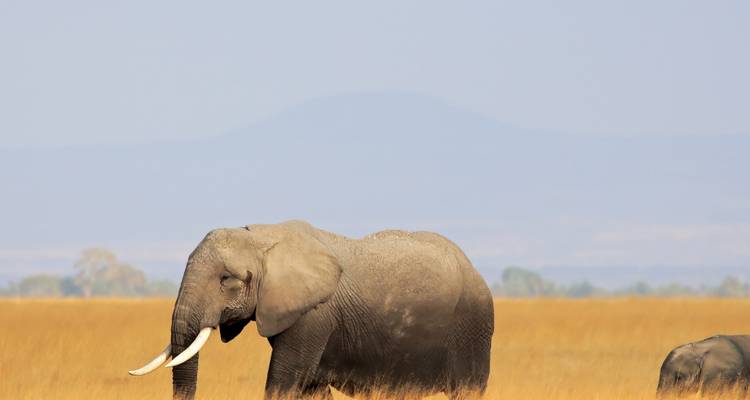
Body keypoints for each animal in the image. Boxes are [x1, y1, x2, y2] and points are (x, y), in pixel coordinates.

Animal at [129, 220, 494, 399]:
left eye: (227, 279)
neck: (263, 238)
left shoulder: (313, 316)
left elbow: (284, 381)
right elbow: (310, 387)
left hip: (472, 328)